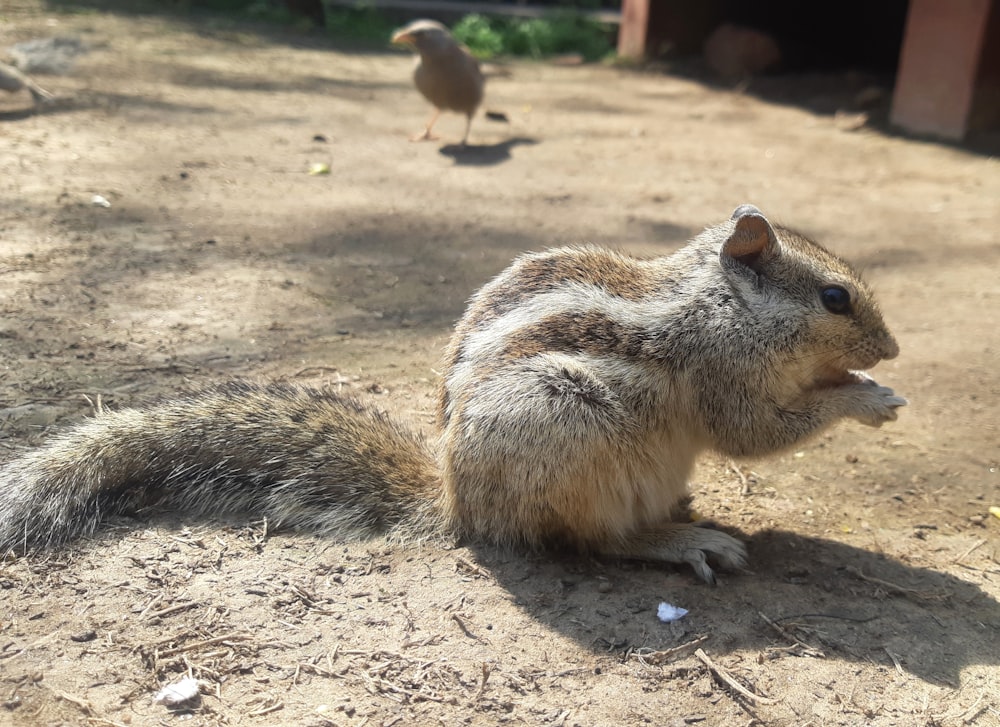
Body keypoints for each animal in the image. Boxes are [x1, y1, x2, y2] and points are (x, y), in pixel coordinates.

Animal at [0, 206, 908, 584]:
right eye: (835, 298)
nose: (894, 347)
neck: (717, 302)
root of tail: (457, 500)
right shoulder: (724, 374)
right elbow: (760, 431)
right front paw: (868, 393)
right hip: (565, 432)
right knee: (589, 540)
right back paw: (679, 541)